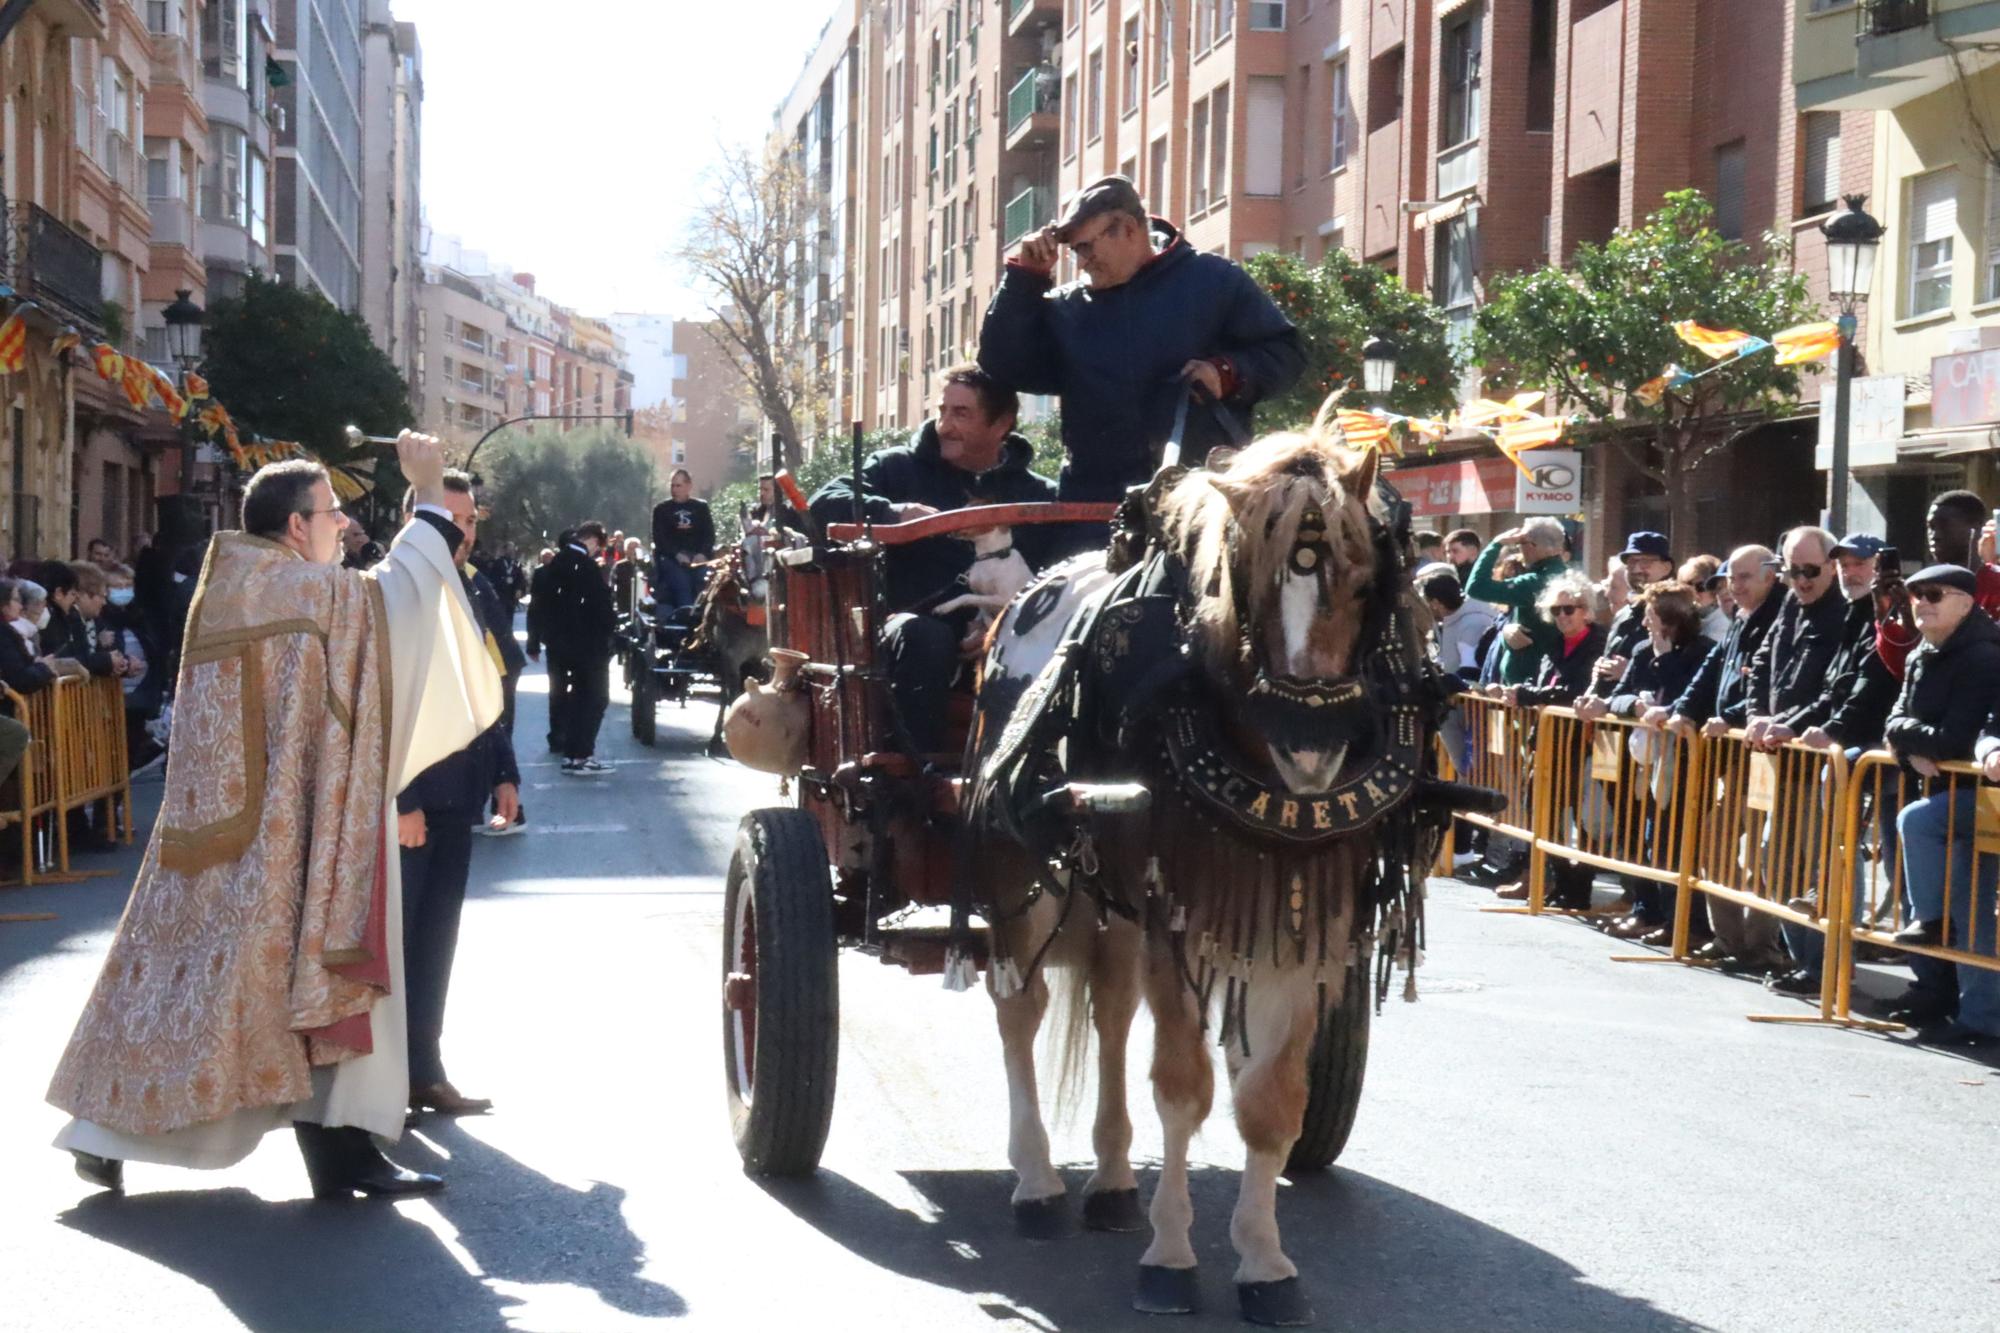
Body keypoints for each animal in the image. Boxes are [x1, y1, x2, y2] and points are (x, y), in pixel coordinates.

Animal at [964, 412, 1448, 1320]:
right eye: (1247, 585)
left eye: (1364, 582)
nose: (1309, 749)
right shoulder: (1177, 910)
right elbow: (1184, 1087)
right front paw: (1172, 1253)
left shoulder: (1304, 916)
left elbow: (1270, 1101)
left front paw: (1263, 1259)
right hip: (1019, 869)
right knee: (1022, 1009)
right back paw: (1038, 1180)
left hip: (1112, 892)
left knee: (1112, 1009)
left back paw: (1113, 1180)